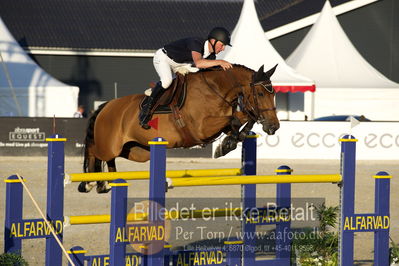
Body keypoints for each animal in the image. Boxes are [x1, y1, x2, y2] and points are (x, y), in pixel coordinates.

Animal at [79, 64, 282, 193]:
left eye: (274, 94)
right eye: (261, 93)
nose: (274, 126)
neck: (216, 90)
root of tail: (106, 105)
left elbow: (242, 119)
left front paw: (229, 142)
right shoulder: (201, 128)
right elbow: (235, 119)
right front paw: (226, 144)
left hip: (136, 151)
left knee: (109, 159)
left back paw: (109, 182)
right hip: (110, 144)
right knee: (94, 151)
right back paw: (92, 184)